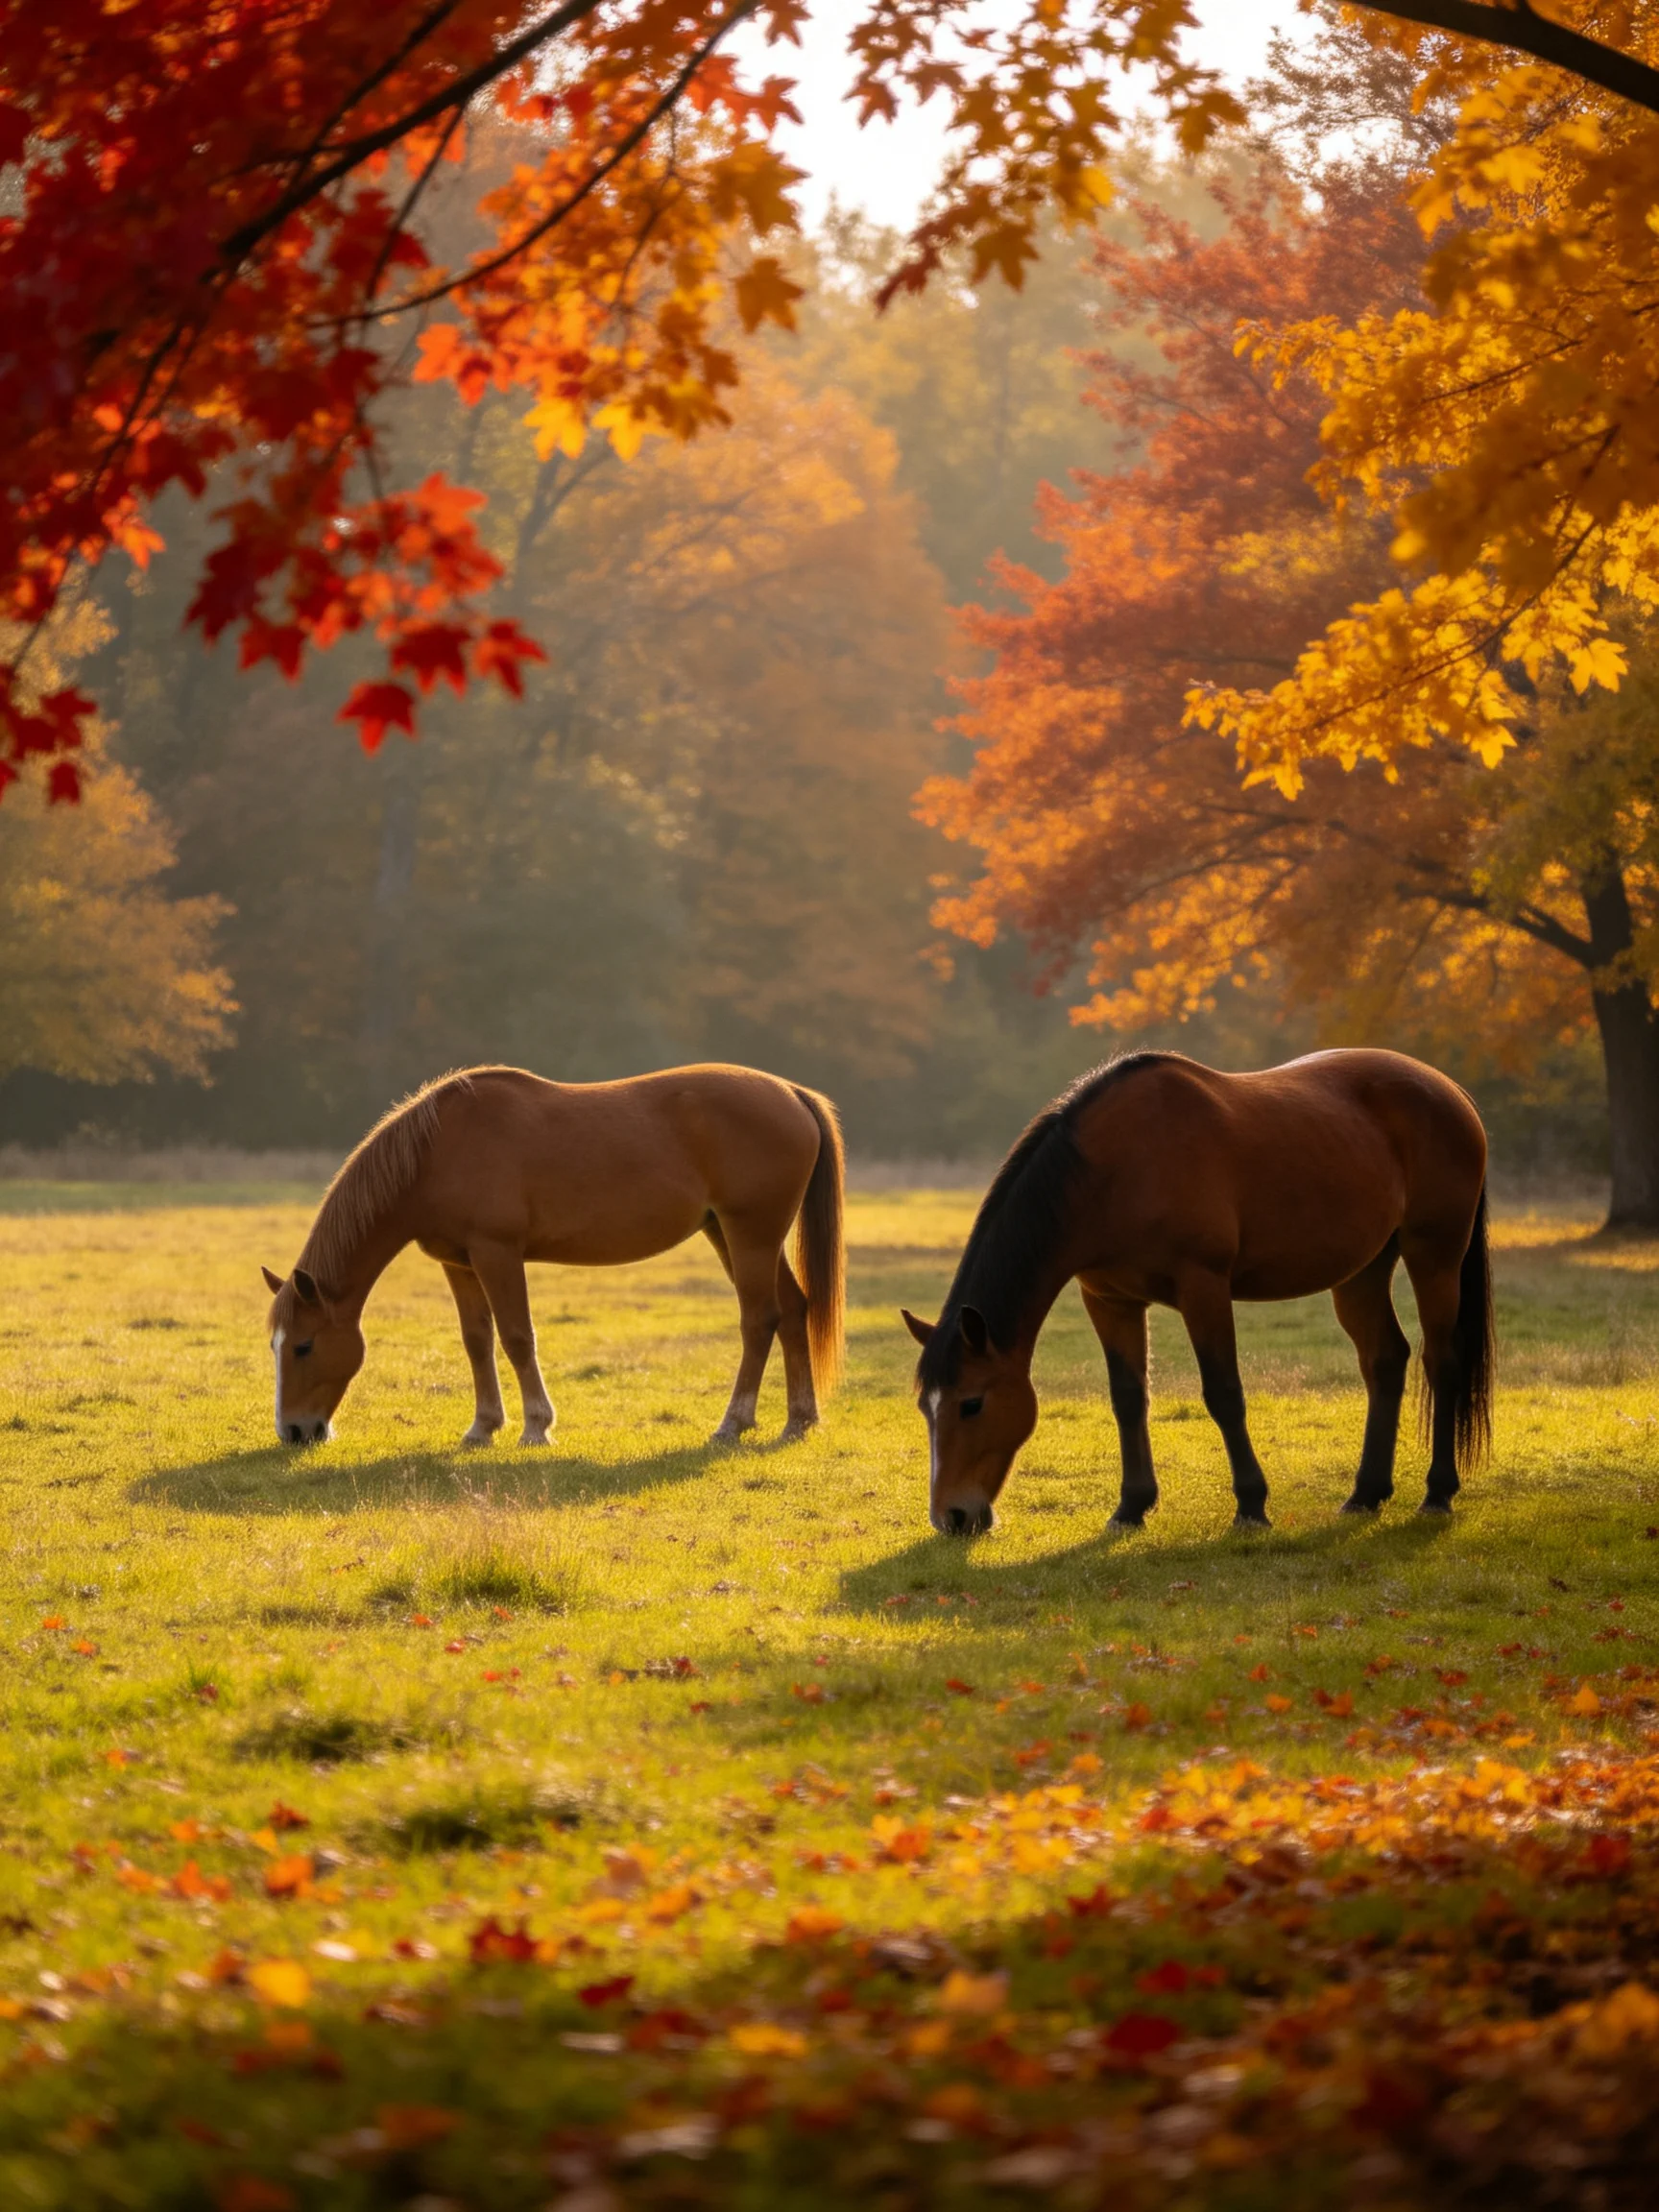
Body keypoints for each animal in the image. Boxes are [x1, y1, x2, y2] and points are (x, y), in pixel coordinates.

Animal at [261, 1064, 844, 1449]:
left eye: (304, 1346)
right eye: (276, 1346)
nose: (294, 1431)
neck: (437, 1151)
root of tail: (791, 1093)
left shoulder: (497, 1253)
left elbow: (517, 1337)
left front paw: (536, 1426)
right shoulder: (459, 1262)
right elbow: (477, 1341)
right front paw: (482, 1427)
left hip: (750, 1236)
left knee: (759, 1320)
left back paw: (732, 1422)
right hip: (733, 1234)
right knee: (794, 1311)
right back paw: (799, 1419)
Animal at [901, 1049, 1492, 1536]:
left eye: (971, 1404)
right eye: (926, 1407)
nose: (952, 1517)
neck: (1116, 1169)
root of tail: (1451, 1092)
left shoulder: (1203, 1288)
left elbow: (1224, 1393)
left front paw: (1251, 1505)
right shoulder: (1110, 1301)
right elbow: (1128, 1397)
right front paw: (1131, 1507)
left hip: (1434, 1255)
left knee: (1441, 1362)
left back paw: (1438, 1493)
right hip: (1362, 1271)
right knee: (1385, 1362)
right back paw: (1365, 1495)